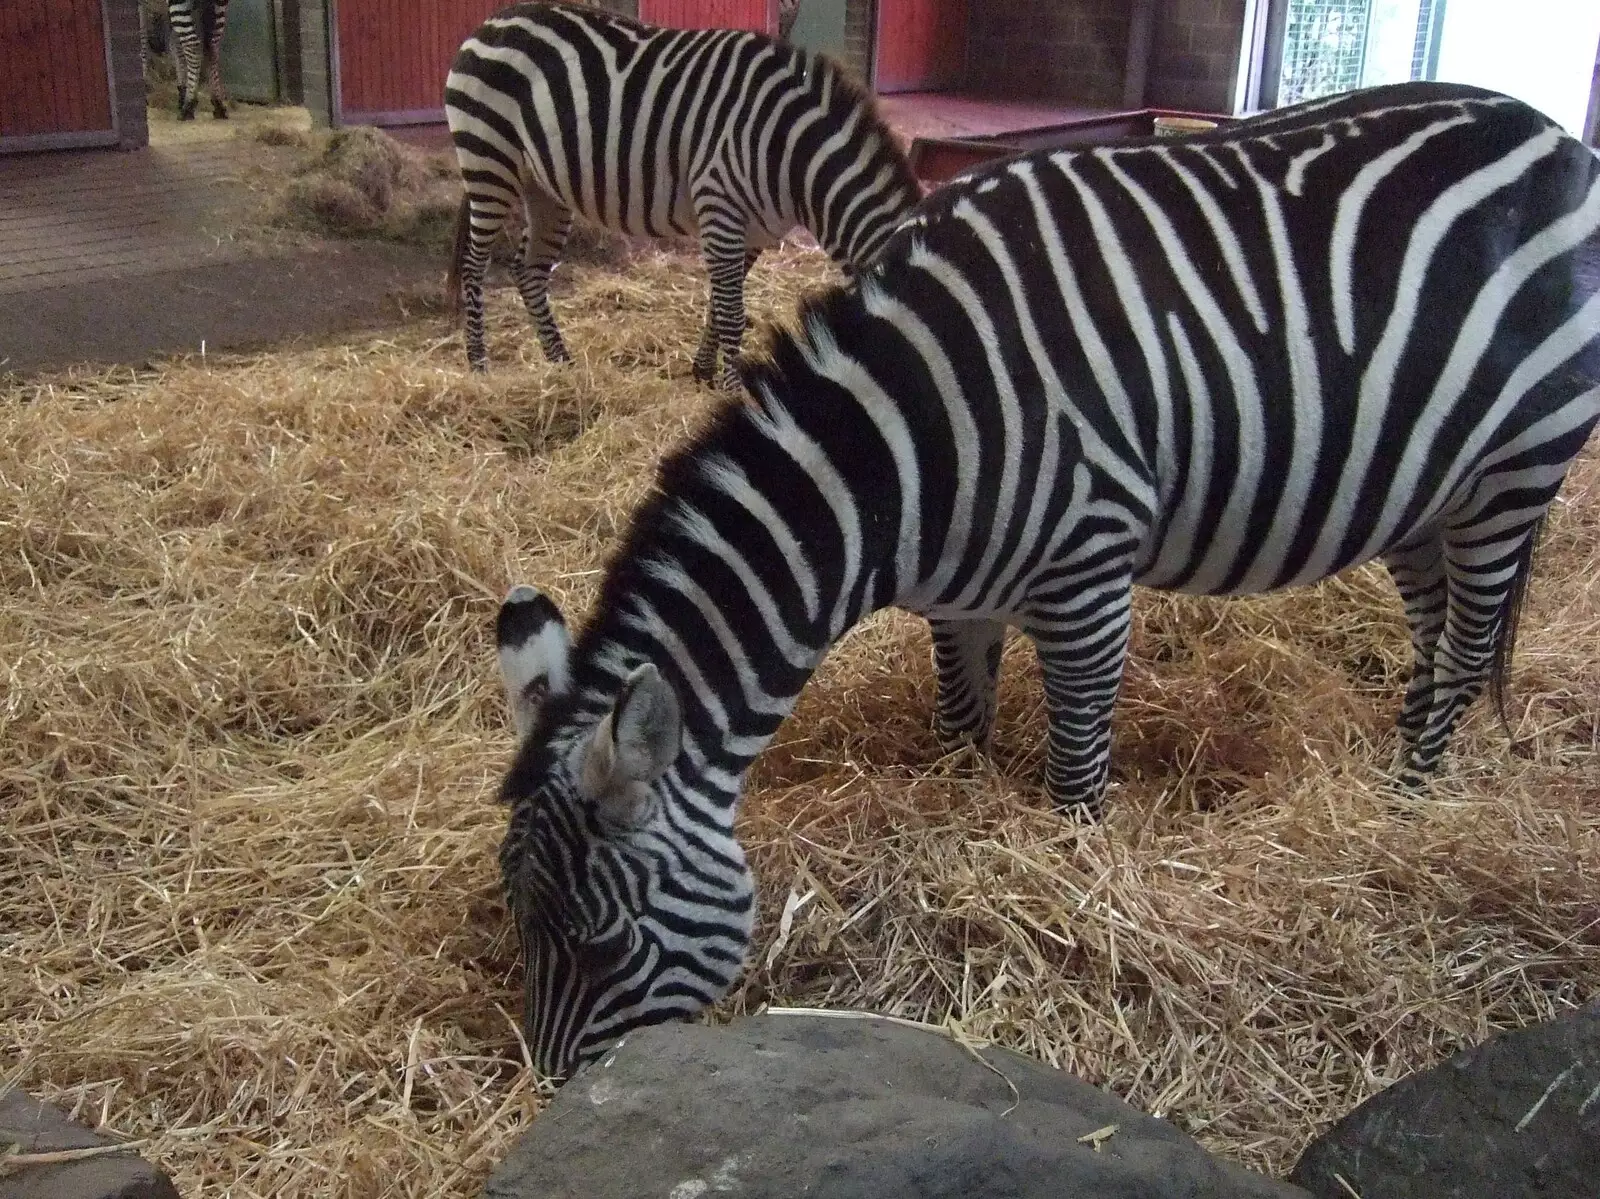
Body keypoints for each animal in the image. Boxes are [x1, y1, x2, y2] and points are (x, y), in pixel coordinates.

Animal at [451, 0, 928, 384]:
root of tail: (492, 20)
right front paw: (732, 390)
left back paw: (561, 363)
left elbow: (720, 305)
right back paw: (479, 365)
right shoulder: (720, 206)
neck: (792, 153)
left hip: (544, 188)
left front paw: (702, 372)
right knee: (475, 266)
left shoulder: (754, 229)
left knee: (528, 270)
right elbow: (733, 314)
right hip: (489, 161)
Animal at [486, 82, 1600, 1075]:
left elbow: (1075, 781)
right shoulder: (958, 602)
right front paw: (968, 833)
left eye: (603, 945)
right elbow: (961, 732)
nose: (559, 1094)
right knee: (1436, 635)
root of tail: (1550, 132)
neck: (909, 455)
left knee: (1468, 645)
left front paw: (1078, 898)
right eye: (511, 922)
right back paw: (1402, 776)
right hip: (1420, 492)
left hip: (1514, 468)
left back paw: (1410, 810)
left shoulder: (1090, 576)